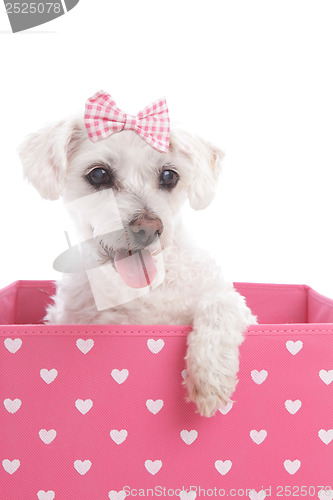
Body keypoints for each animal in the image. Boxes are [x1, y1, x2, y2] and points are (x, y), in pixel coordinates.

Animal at [18, 103, 254, 416]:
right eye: (99, 175)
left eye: (169, 176)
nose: (148, 228)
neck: (141, 290)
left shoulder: (232, 301)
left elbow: (219, 308)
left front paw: (211, 378)